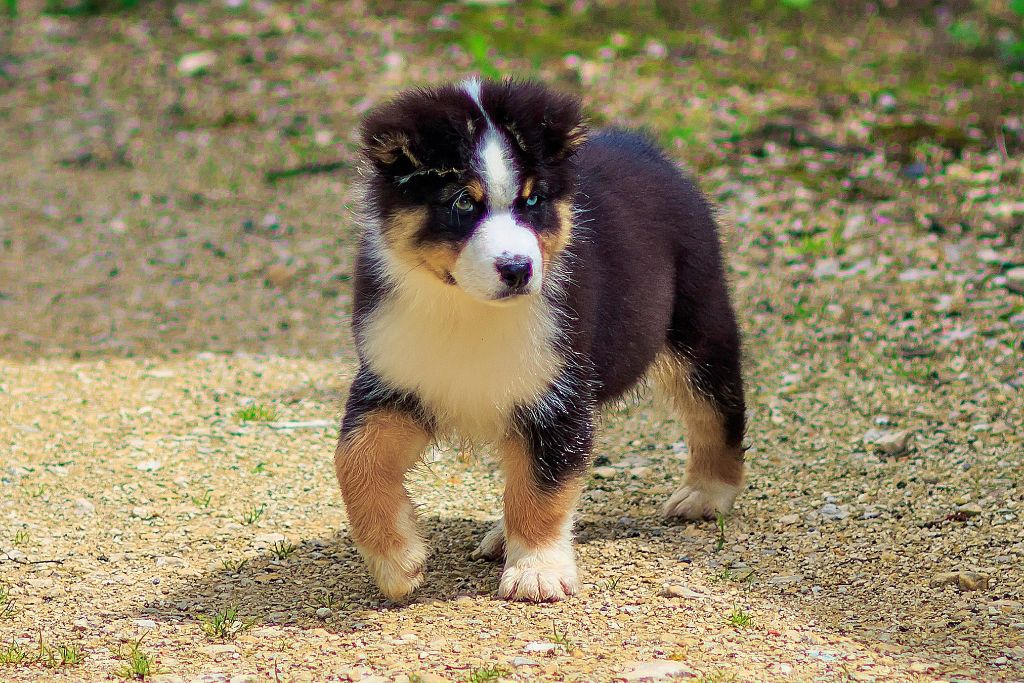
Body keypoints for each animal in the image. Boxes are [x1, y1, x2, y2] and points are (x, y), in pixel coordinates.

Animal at [335, 78, 745, 602]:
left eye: (531, 202)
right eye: (462, 202)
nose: (517, 269)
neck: (469, 311)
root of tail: (643, 147)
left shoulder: (556, 392)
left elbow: (543, 489)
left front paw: (537, 571)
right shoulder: (394, 377)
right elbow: (354, 459)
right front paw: (395, 561)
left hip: (697, 321)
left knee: (716, 408)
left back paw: (706, 492)